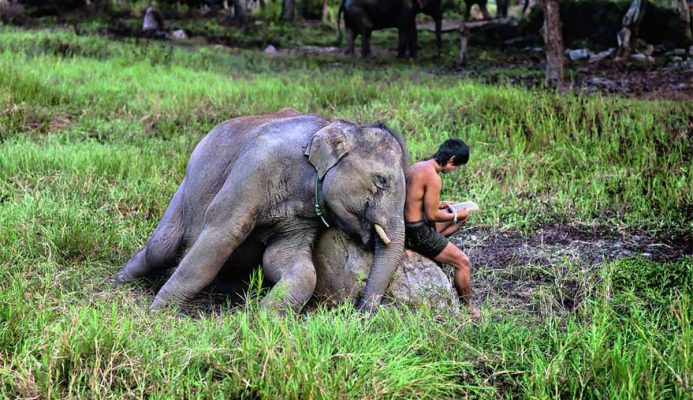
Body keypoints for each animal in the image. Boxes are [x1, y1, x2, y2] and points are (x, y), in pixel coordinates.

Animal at [117, 108, 410, 312]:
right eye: (382, 180)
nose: (360, 312)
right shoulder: (255, 167)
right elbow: (221, 235)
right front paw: (159, 313)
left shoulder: (304, 216)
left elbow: (289, 262)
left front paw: (262, 316)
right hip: (186, 189)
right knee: (161, 248)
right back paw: (121, 279)